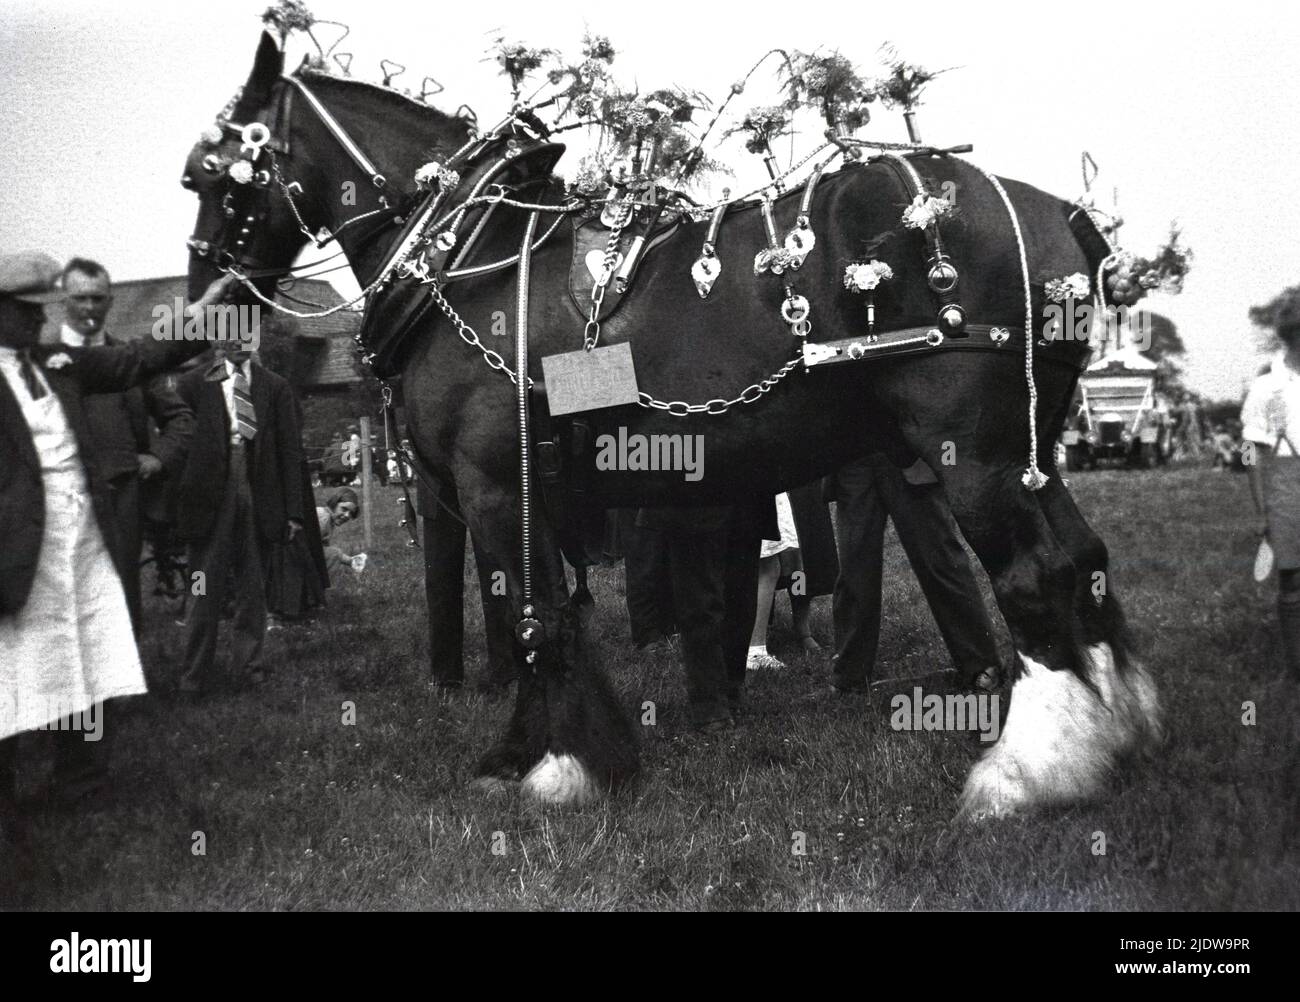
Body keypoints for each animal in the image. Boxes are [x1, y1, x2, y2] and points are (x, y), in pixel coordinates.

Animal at [180, 33, 1159, 821]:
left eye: (208, 175)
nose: (200, 311)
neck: (467, 258)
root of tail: (1062, 214)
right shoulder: (530, 494)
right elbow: (543, 614)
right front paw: (532, 752)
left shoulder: (495, 484)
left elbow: (534, 619)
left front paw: (559, 767)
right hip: (1031, 450)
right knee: (1084, 561)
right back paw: (1121, 731)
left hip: (977, 455)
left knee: (1034, 575)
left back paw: (1027, 774)